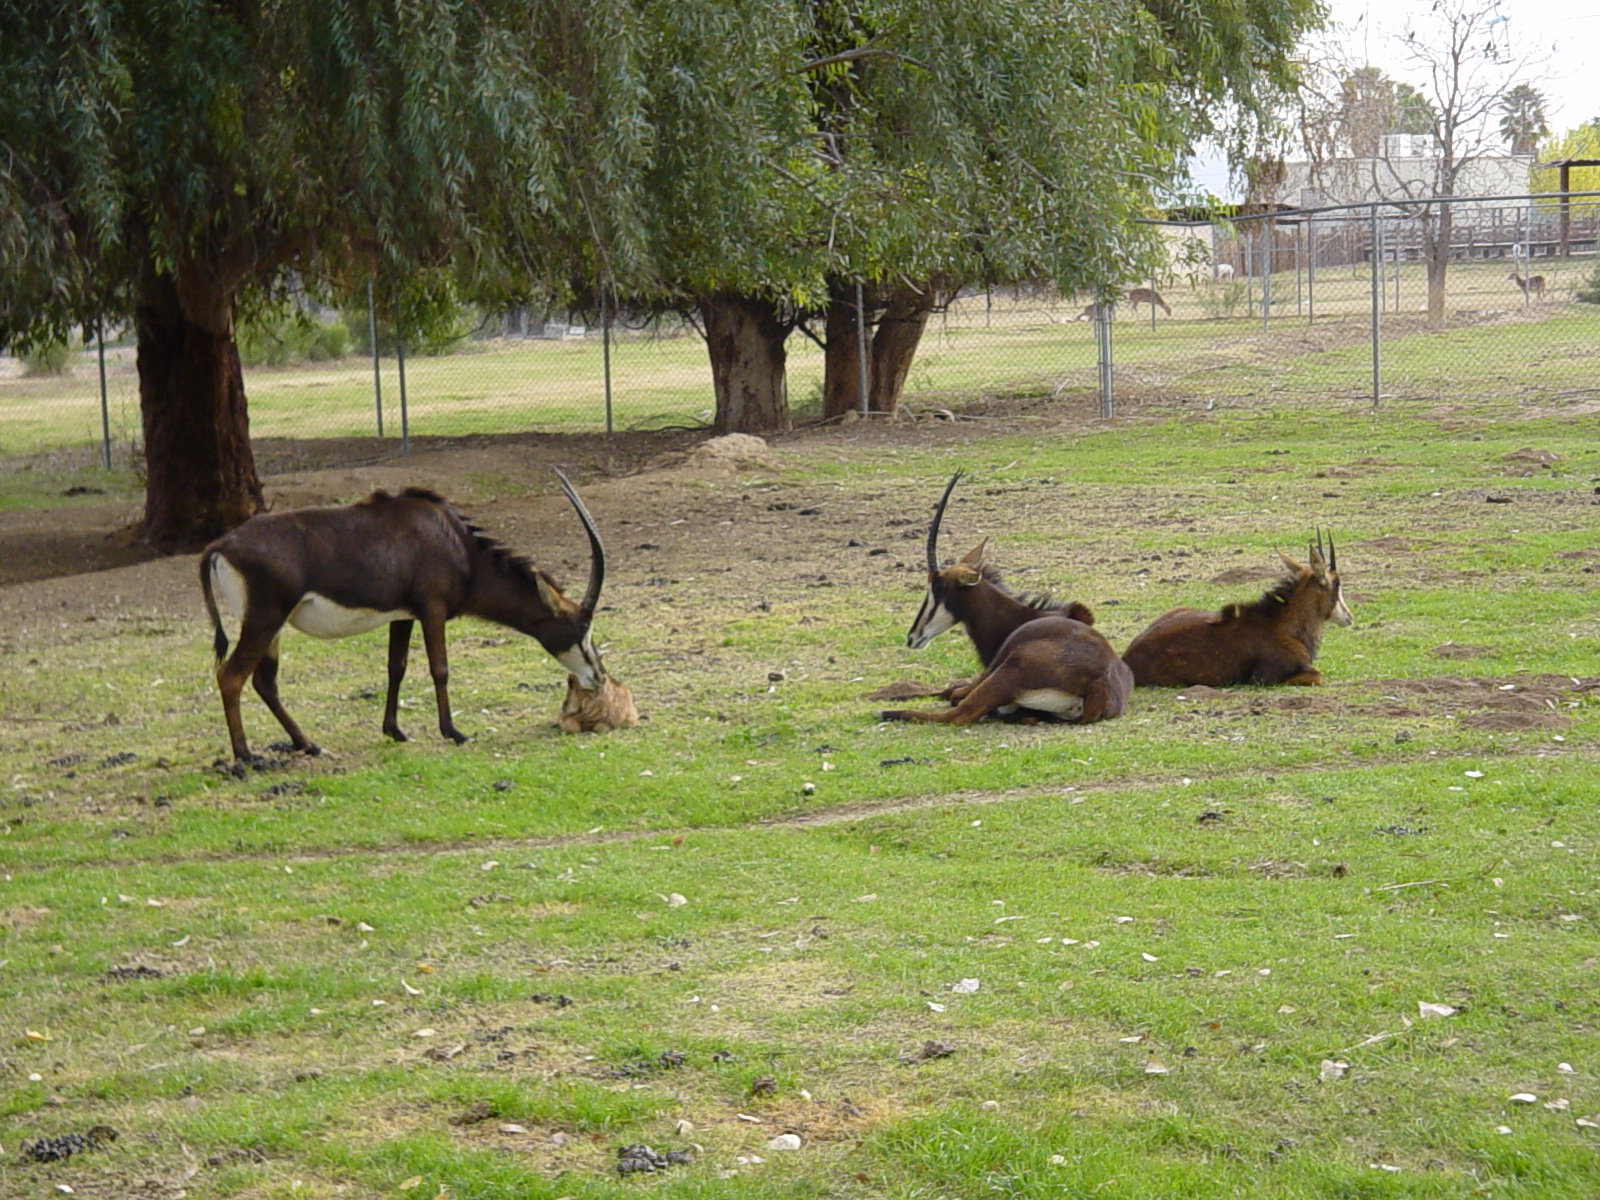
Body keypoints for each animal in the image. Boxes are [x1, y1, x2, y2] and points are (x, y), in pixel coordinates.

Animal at [199, 472, 608, 768]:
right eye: (581, 627)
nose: (599, 677)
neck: (458, 544)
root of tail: (219, 546)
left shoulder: (403, 615)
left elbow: (396, 667)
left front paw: (394, 731)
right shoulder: (432, 610)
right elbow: (439, 668)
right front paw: (453, 732)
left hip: (272, 628)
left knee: (264, 682)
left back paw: (310, 745)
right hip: (264, 620)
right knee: (231, 676)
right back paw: (246, 756)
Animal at [1120, 533, 1351, 688]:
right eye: (1337, 584)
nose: (1349, 617)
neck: (1281, 625)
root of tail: (1128, 658)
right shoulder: (1264, 678)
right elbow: (1317, 676)